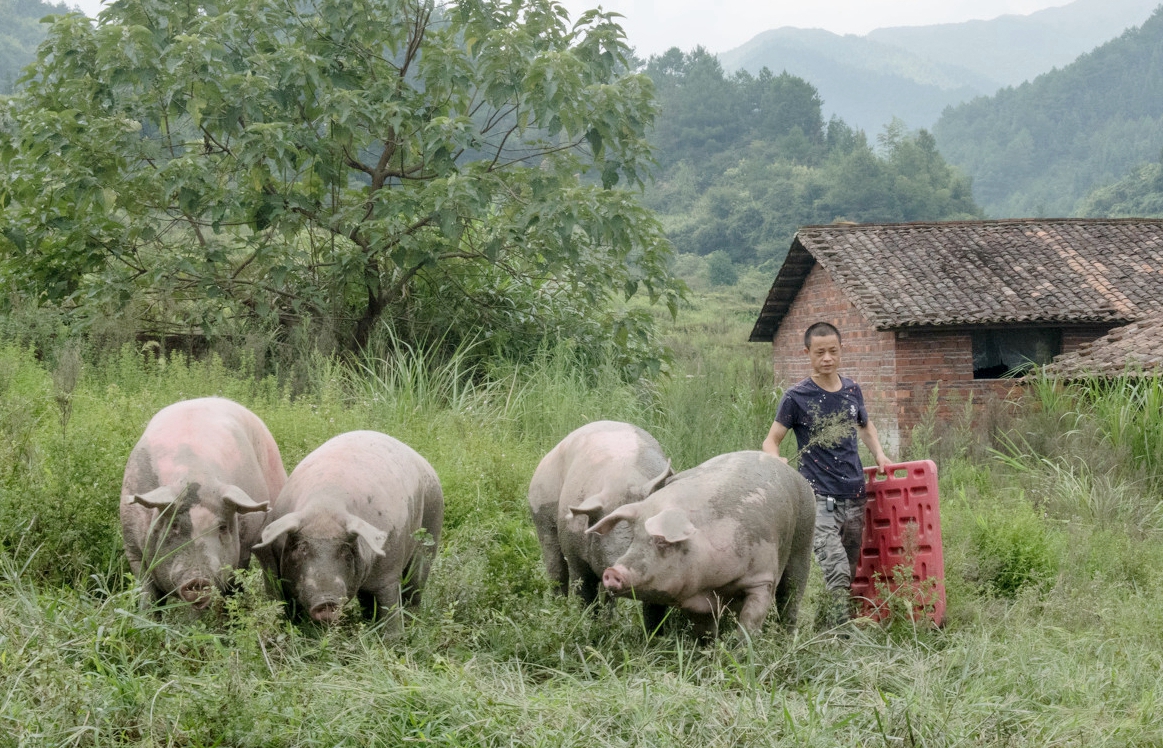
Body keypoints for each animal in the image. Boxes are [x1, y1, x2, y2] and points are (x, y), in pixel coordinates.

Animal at [120, 397, 288, 609]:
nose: (198, 580)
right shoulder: (133, 550)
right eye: (174, 525)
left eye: (222, 527)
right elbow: (148, 597)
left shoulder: (236, 555)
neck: (194, 474)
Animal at [252, 430, 441, 628]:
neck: (325, 508)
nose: (327, 602)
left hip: (432, 527)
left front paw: (394, 635)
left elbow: (389, 609)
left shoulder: (388, 572)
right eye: (302, 548)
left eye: (345, 550)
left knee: (415, 586)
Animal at [586, 451, 814, 637]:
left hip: (803, 543)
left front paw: (740, 652)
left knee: (791, 596)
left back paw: (787, 639)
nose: (612, 571)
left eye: (661, 541)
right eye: (635, 536)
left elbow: (750, 623)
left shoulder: (762, 578)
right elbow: (705, 632)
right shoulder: (697, 602)